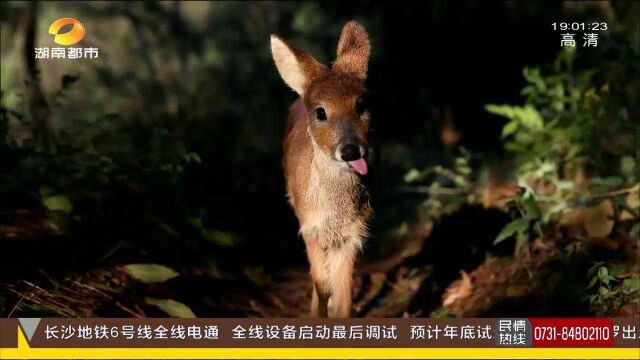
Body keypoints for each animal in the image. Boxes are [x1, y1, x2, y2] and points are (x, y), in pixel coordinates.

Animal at [272, 21, 372, 316]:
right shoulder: (309, 225)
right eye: (321, 112)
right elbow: (322, 283)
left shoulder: (353, 232)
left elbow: (343, 296)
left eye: (361, 105)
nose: (350, 150)